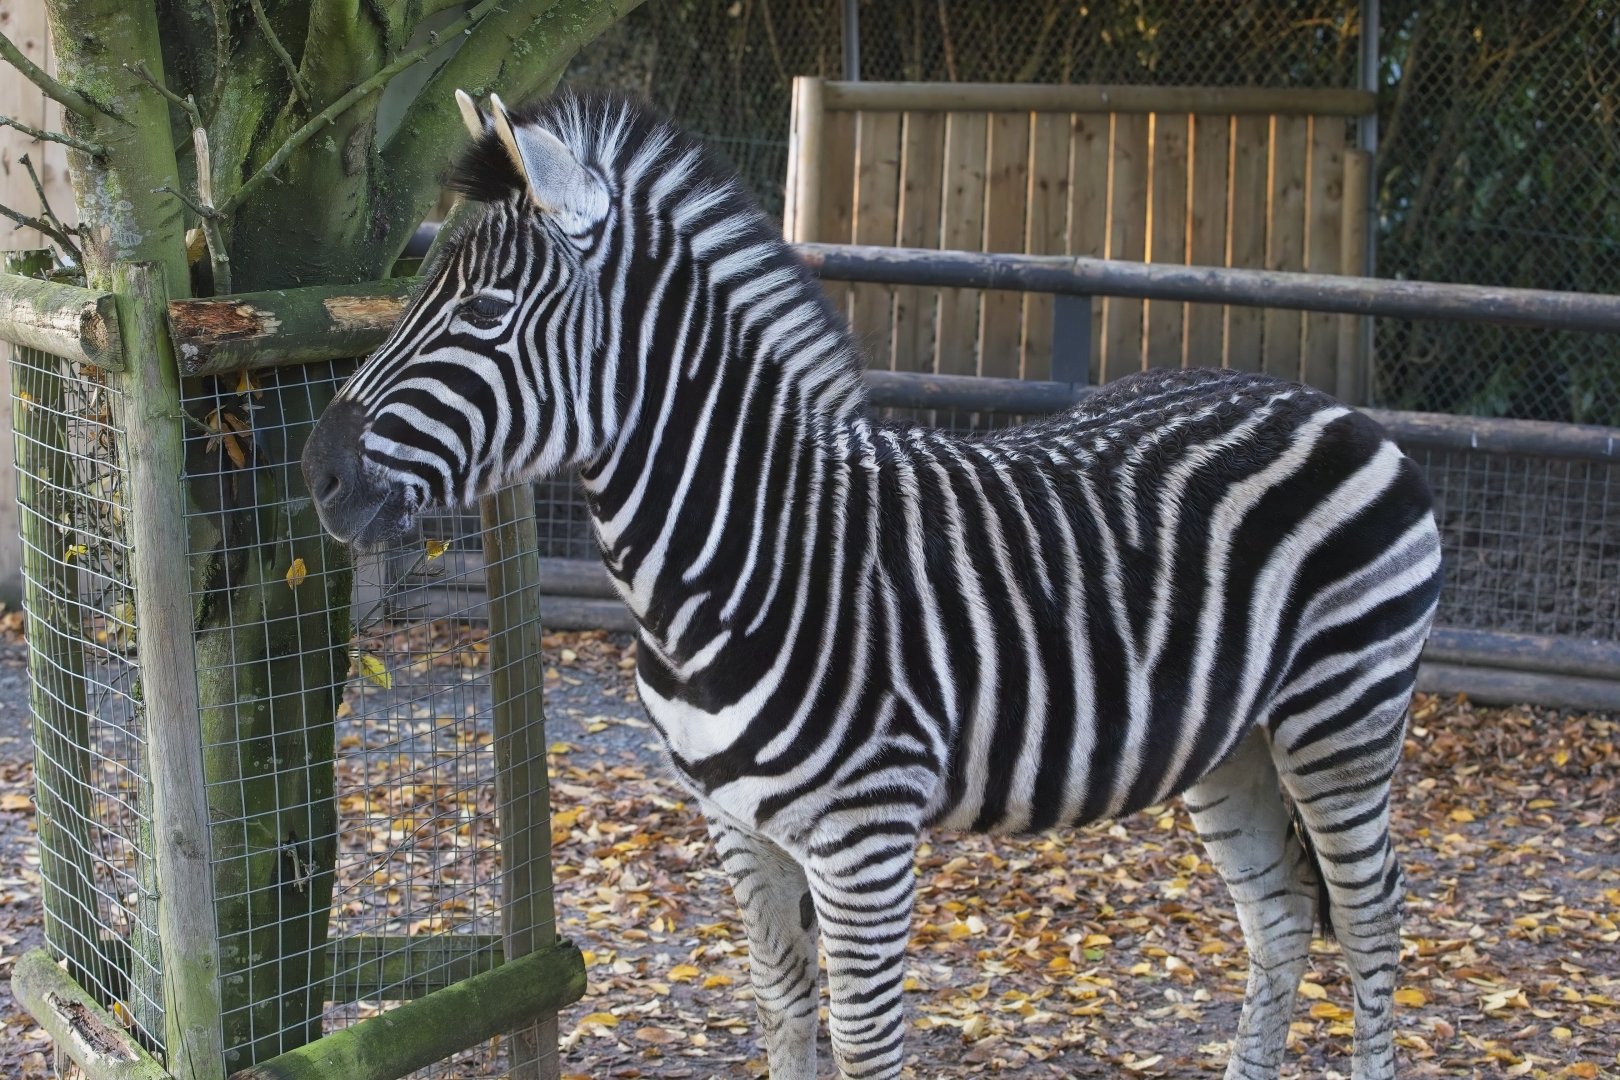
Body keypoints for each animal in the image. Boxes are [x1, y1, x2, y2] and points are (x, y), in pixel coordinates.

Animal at [302, 90, 1443, 1080]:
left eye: (486, 308)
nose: (318, 475)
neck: (745, 557)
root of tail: (1321, 402)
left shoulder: (864, 837)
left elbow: (866, 1042)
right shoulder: (737, 828)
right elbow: (781, 1006)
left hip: (1342, 713)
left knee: (1374, 915)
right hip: (1230, 740)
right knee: (1282, 917)